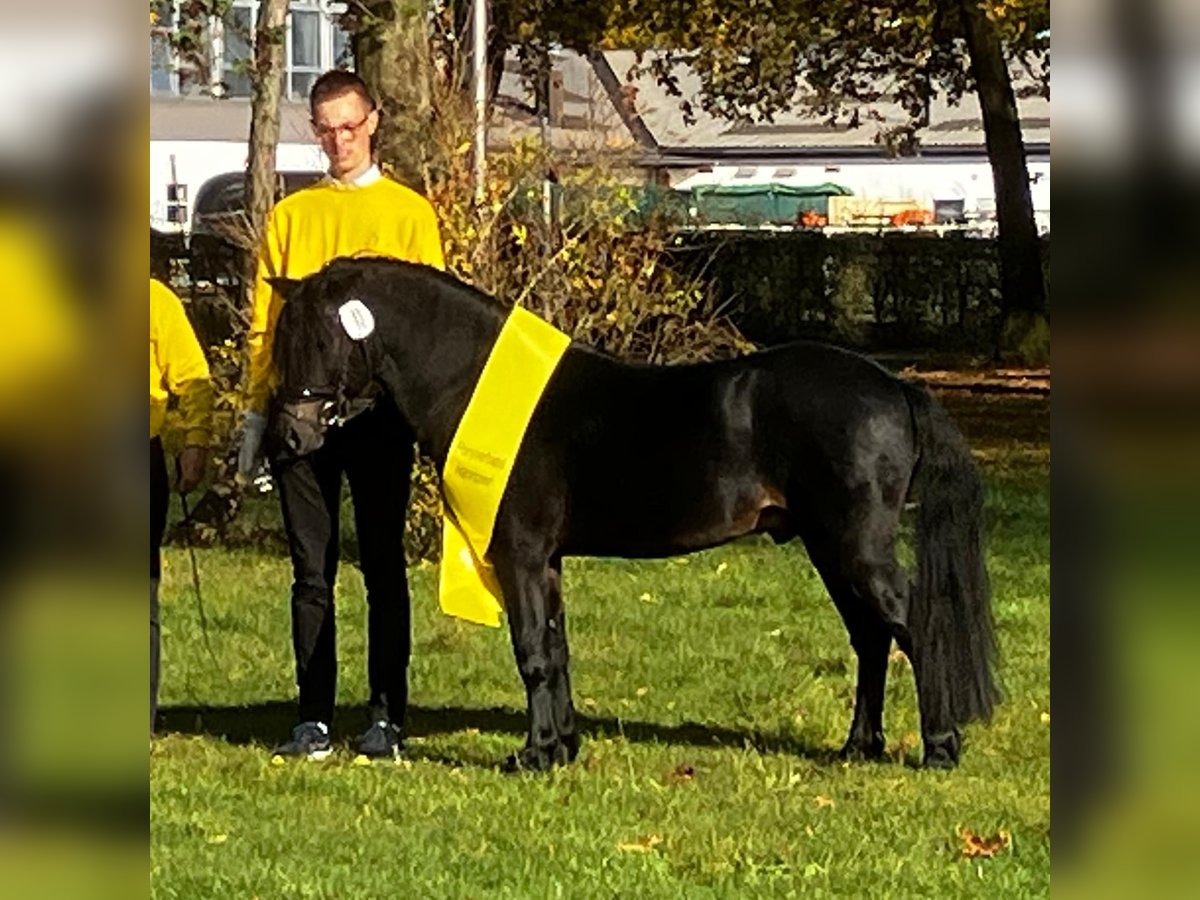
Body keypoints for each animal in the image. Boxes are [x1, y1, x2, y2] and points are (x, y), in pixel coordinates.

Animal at [267, 256, 998, 772]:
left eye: (319, 340)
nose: (291, 439)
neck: (476, 382)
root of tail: (894, 386)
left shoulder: (520, 556)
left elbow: (532, 651)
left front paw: (531, 757)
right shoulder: (547, 563)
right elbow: (556, 648)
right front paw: (561, 747)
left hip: (855, 546)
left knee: (910, 625)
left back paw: (939, 748)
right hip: (827, 546)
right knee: (871, 636)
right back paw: (858, 747)